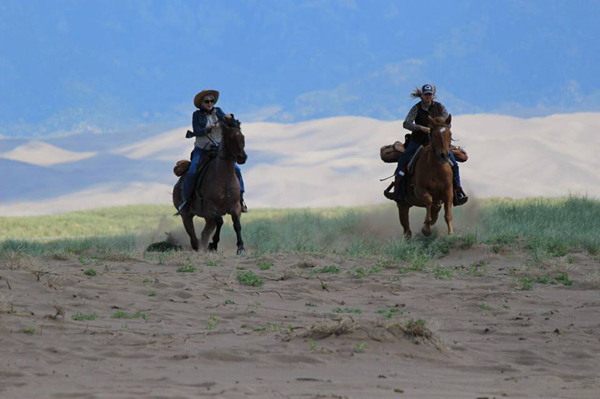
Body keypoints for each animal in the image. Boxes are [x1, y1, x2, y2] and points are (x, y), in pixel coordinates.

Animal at [172, 120, 247, 255]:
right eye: (230, 137)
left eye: (243, 137)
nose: (242, 157)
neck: (224, 179)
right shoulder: (210, 208)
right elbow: (221, 221)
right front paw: (214, 244)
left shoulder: (236, 207)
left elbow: (237, 225)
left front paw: (241, 247)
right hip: (186, 215)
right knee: (192, 234)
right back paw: (198, 247)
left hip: (207, 218)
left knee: (204, 233)